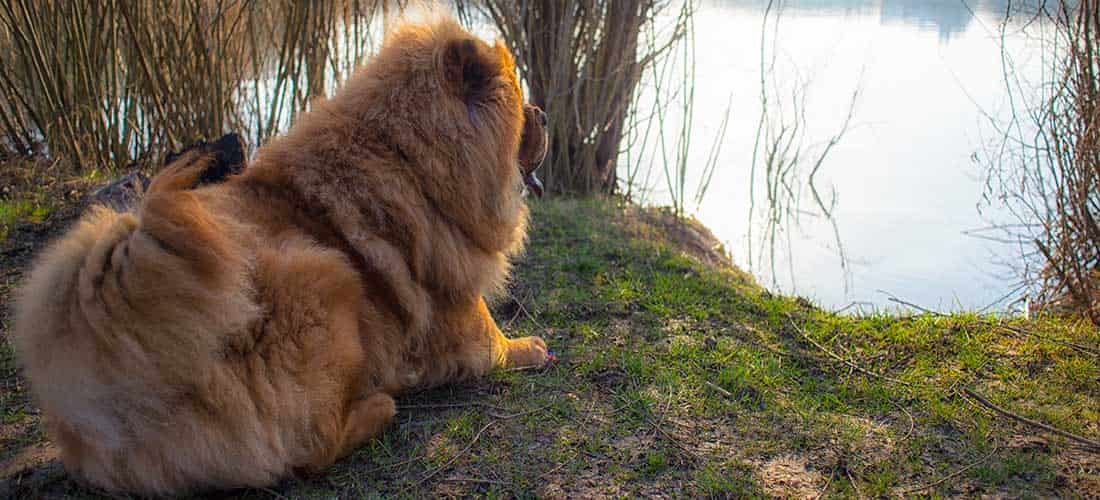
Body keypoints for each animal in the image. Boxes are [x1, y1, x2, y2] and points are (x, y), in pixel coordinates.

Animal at [12, 19, 550, 496]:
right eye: (520, 102)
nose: (543, 114)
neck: (412, 159)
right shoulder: (450, 297)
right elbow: (489, 337)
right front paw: (529, 346)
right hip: (326, 279)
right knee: (311, 449)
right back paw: (380, 405)